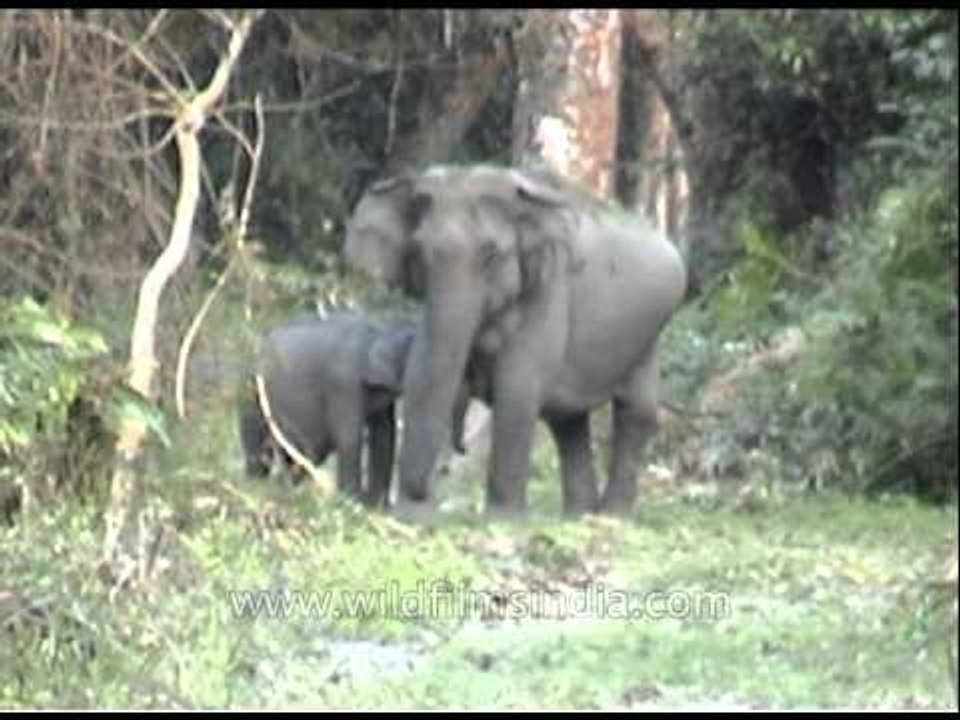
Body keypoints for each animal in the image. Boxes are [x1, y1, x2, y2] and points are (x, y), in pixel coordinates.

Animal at [238, 311, 472, 506]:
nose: (464, 449)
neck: (382, 328)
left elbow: (385, 436)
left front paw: (376, 506)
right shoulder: (342, 383)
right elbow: (350, 438)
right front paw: (353, 502)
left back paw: (287, 488)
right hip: (254, 395)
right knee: (259, 445)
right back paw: (257, 485)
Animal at [343, 164, 687, 518]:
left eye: (491, 255)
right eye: (419, 252)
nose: (424, 498)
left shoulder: (549, 287)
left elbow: (518, 384)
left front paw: (502, 518)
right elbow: (422, 370)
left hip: (650, 332)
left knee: (635, 410)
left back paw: (611, 515)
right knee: (568, 423)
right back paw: (577, 514)